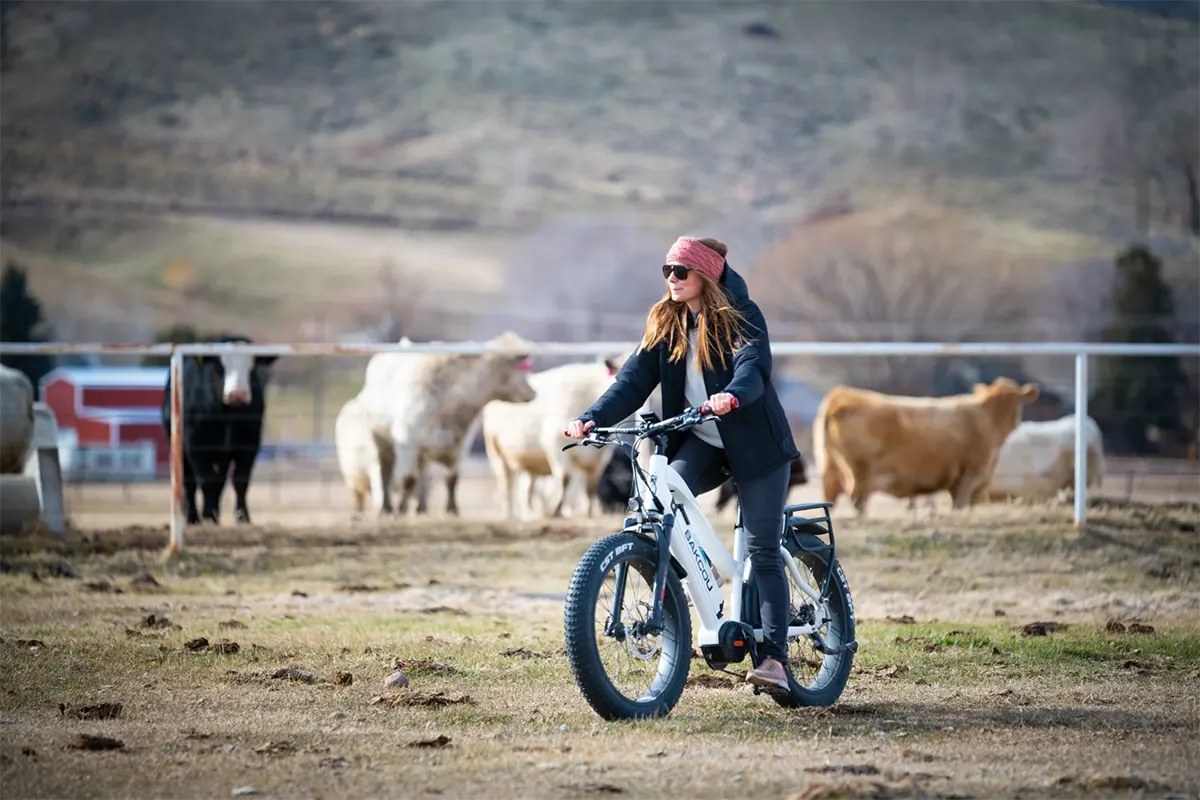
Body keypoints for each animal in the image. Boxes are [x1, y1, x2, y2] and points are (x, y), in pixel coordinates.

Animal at [162, 338, 278, 525]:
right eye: (220, 366)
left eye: (251, 366)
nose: (237, 394)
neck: (227, 414)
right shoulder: (195, 445)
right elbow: (205, 480)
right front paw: (208, 515)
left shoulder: (249, 444)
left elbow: (240, 479)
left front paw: (242, 516)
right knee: (190, 482)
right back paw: (193, 516)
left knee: (220, 481)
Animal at [336, 331, 537, 520]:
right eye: (522, 369)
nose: (533, 393)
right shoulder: (408, 440)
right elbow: (407, 478)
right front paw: (400, 509)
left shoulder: (460, 444)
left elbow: (452, 478)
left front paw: (452, 510)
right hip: (381, 441)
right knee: (385, 473)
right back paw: (387, 508)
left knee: (422, 477)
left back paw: (420, 509)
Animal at [480, 357, 624, 520]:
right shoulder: (554, 444)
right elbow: (565, 478)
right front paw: (554, 511)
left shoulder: (599, 459)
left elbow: (591, 486)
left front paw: (588, 514)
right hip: (495, 450)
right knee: (506, 482)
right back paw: (509, 514)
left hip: (530, 460)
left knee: (527, 487)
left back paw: (529, 513)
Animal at [816, 379, 1041, 515]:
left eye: (1016, 401)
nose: (1011, 421)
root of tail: (841, 395)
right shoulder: (969, 476)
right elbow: (959, 505)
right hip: (859, 472)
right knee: (858, 500)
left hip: (830, 468)